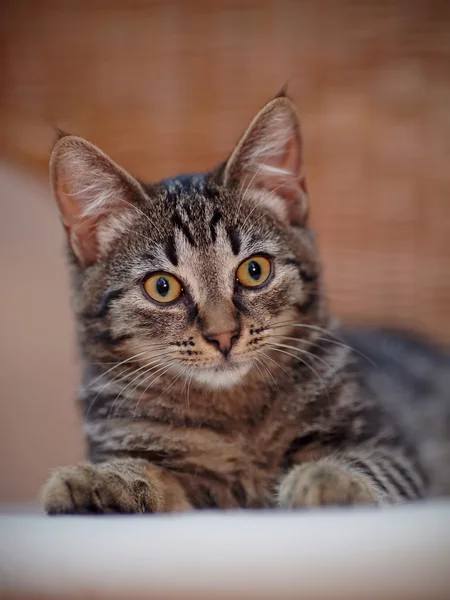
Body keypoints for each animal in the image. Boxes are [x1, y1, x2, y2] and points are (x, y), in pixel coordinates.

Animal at [42, 91, 450, 512]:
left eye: (255, 271)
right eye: (162, 287)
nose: (223, 335)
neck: (234, 411)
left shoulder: (391, 449)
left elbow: (366, 467)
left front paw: (326, 479)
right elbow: (145, 470)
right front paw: (99, 479)